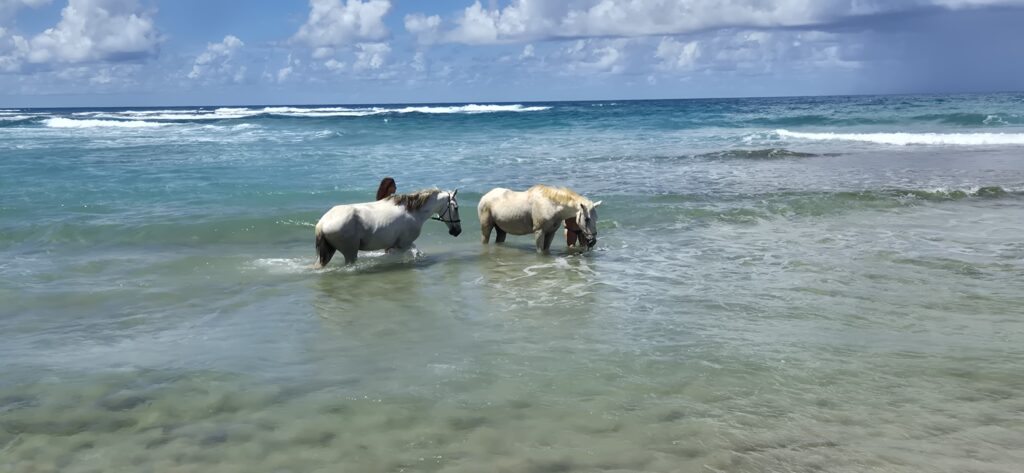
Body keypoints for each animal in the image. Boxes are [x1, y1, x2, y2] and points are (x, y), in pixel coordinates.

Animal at [314, 189, 461, 267]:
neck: (413, 212)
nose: (457, 231)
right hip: (350, 253)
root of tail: (322, 223)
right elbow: (413, 253)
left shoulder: (397, 246)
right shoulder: (404, 245)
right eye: (456, 207)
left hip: (330, 251)